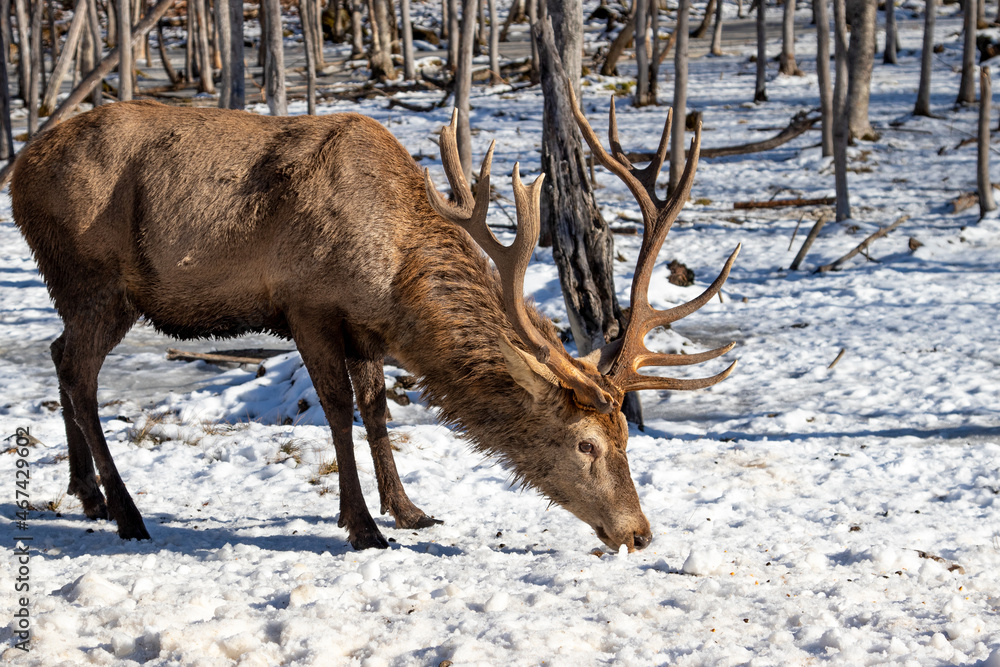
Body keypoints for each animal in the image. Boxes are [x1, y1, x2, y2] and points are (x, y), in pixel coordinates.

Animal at [11, 90, 738, 552]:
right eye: (587, 444)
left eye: (627, 438)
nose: (638, 532)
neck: (393, 276)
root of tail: (16, 172)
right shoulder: (306, 306)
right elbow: (337, 410)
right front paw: (362, 525)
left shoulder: (366, 328)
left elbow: (378, 405)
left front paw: (408, 509)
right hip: (95, 278)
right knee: (78, 370)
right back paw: (126, 510)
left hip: (81, 290)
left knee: (56, 353)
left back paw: (87, 492)